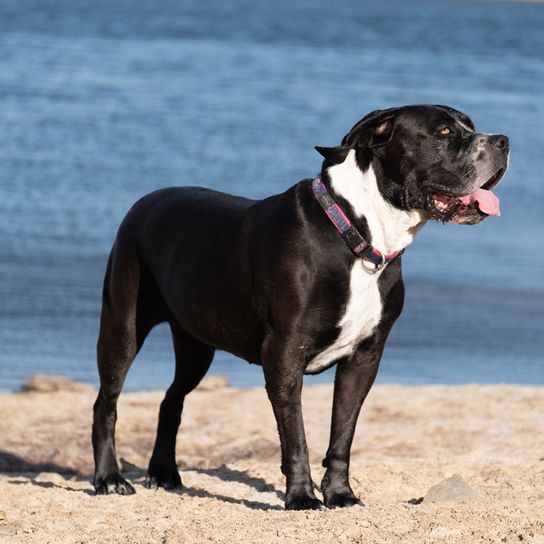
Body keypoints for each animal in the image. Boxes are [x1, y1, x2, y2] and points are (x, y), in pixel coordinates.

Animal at [91, 103, 508, 510]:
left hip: (196, 345)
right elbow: (296, 435)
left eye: (469, 125)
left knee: (171, 399)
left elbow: (342, 433)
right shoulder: (284, 354)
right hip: (122, 328)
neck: (357, 233)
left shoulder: (364, 358)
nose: (503, 141)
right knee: (106, 402)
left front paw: (340, 494)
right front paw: (301, 497)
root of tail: (142, 203)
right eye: (443, 132)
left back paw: (164, 472)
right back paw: (109, 478)